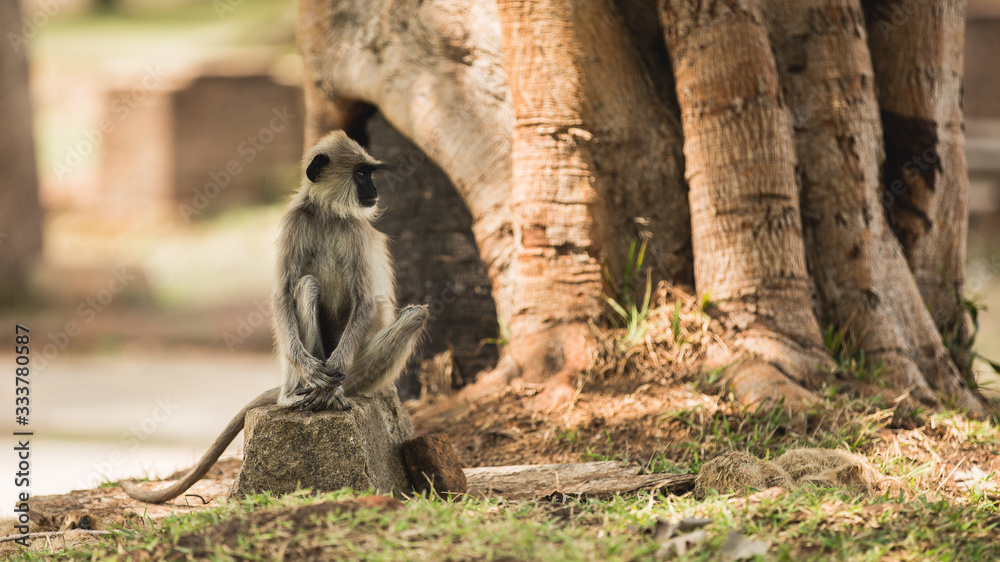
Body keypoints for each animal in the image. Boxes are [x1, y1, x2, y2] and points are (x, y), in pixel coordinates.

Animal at [120, 131, 426, 504]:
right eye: (361, 175)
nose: (374, 189)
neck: (327, 213)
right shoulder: (295, 220)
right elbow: (282, 293)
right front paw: (308, 368)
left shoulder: (355, 228)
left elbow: (366, 301)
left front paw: (332, 371)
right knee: (306, 286)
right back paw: (298, 392)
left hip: (367, 376)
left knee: (414, 316)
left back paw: (333, 392)